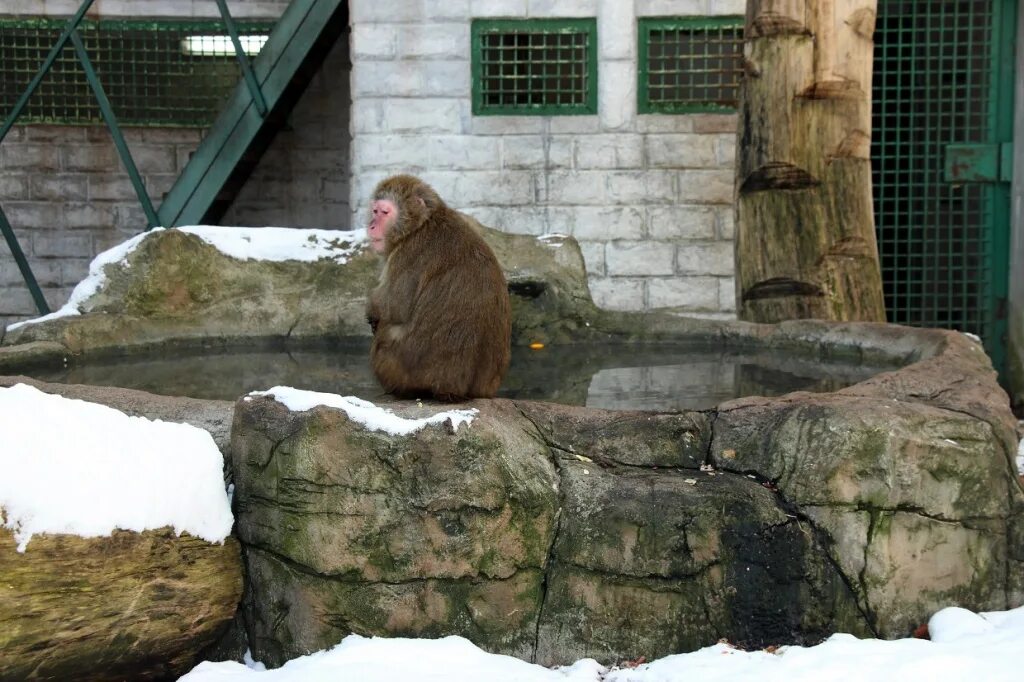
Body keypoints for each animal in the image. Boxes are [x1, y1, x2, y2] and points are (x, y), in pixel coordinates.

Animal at [366, 173, 512, 401]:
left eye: (384, 212)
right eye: (375, 211)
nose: (372, 225)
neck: (421, 224)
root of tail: (458, 390)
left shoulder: (408, 253)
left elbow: (395, 307)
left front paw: (372, 309)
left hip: (396, 369)